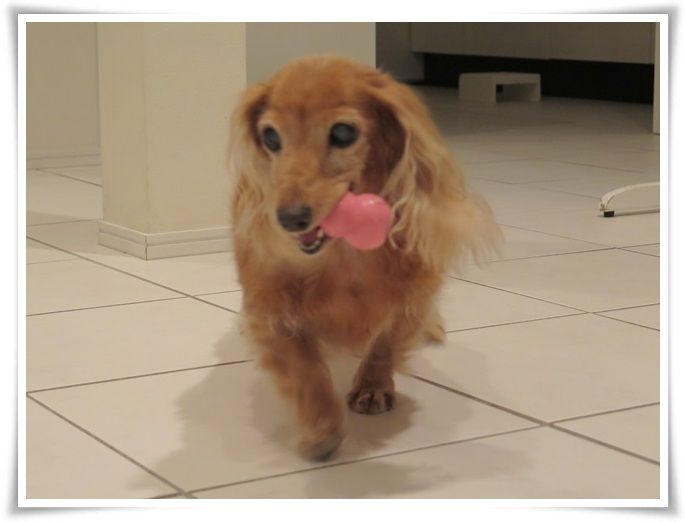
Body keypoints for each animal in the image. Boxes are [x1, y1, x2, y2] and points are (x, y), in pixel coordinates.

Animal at [229, 56, 500, 460]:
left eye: (343, 133)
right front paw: (322, 426)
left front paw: (372, 386)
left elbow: (386, 342)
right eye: (271, 138)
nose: (289, 219)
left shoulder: (412, 295)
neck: (344, 255)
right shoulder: (272, 309)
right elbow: (304, 369)